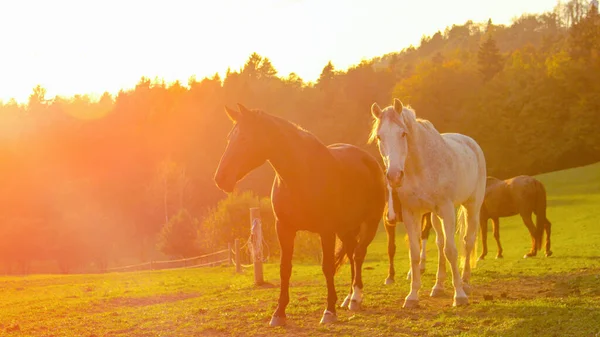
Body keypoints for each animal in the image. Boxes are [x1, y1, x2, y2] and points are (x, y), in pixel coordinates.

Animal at [213, 104, 386, 326]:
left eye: (244, 138)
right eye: (229, 138)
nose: (221, 178)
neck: (301, 175)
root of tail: (368, 160)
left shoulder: (326, 230)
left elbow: (327, 267)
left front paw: (329, 311)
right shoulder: (284, 228)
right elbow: (285, 268)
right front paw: (279, 313)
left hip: (369, 223)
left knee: (358, 254)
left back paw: (355, 298)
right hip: (345, 228)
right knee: (351, 252)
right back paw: (348, 298)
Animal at [370, 98, 488, 308]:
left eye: (403, 133)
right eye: (379, 137)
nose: (394, 176)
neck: (420, 168)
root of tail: (471, 143)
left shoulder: (447, 210)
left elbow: (452, 250)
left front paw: (459, 295)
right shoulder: (412, 213)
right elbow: (416, 253)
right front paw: (412, 296)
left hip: (472, 207)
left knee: (467, 241)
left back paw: (465, 282)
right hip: (434, 215)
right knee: (440, 243)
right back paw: (438, 286)